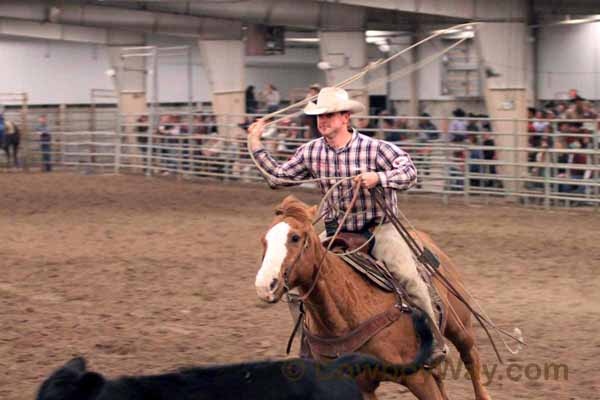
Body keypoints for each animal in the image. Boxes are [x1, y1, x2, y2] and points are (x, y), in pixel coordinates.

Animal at [253, 197, 492, 400]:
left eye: (295, 237)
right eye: (264, 240)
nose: (265, 285)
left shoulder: (417, 377)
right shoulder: (363, 386)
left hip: (460, 324)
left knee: (471, 357)